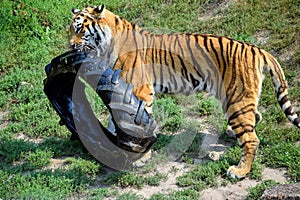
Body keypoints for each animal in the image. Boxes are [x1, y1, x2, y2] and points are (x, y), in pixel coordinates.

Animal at [69, 4, 298, 178]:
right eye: (69, 30)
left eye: (80, 30)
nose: (70, 46)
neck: (107, 45)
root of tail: (257, 49)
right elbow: (115, 120)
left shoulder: (139, 91)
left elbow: (137, 126)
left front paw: (140, 157)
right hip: (239, 100)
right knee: (255, 118)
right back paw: (232, 134)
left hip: (235, 99)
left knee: (251, 138)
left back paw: (239, 171)